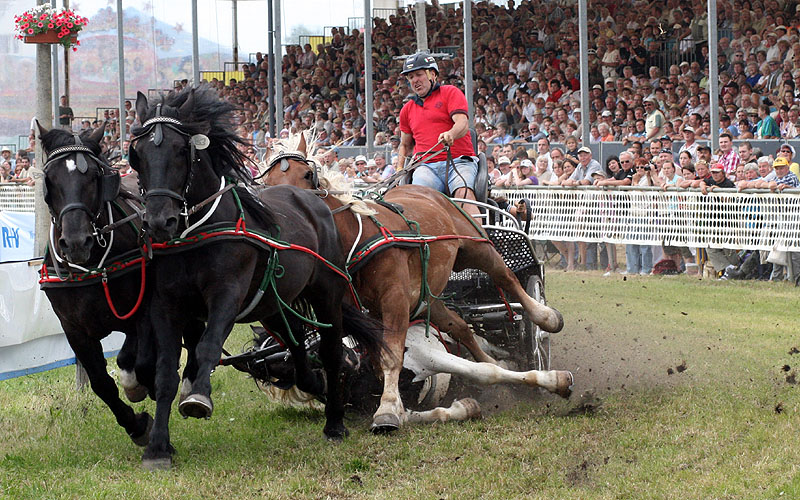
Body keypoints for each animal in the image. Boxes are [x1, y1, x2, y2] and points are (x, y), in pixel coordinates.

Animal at [38, 125, 202, 450]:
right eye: (50, 179)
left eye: (94, 177)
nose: (76, 242)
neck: (93, 265)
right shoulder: (73, 328)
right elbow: (102, 383)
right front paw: (136, 425)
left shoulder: (143, 311)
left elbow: (134, 361)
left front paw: (144, 388)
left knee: (192, 335)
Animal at [129, 86, 384, 468]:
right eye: (138, 154)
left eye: (180, 150)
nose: (160, 221)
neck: (196, 233)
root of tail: (314, 203)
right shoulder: (166, 305)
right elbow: (164, 373)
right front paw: (158, 446)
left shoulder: (227, 295)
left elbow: (207, 346)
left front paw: (198, 398)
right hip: (272, 306)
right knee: (296, 343)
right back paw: (313, 383)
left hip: (327, 293)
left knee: (330, 349)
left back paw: (335, 422)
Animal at [262, 136, 568, 434]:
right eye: (265, 184)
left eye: (307, 174)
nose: (287, 216)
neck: (356, 239)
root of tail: (431, 192)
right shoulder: (366, 313)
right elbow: (383, 357)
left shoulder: (395, 299)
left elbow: (392, 356)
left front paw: (386, 410)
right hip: (427, 296)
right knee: (459, 326)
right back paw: (491, 362)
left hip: (476, 246)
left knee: (507, 278)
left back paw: (547, 319)